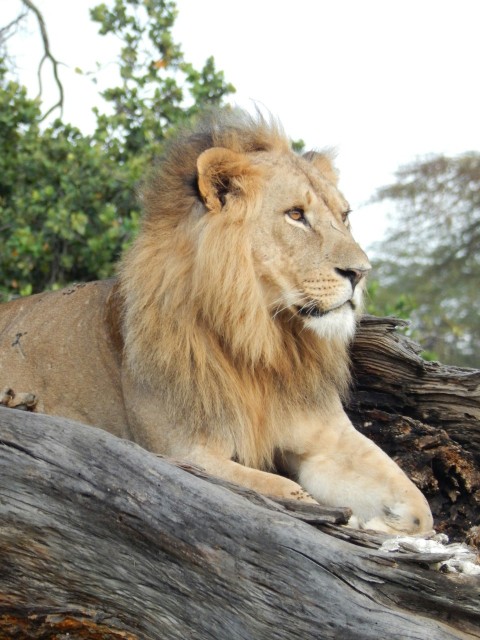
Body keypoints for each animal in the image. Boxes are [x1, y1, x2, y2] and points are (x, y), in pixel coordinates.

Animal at [0, 109, 432, 534]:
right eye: (296, 215)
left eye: (344, 217)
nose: (361, 273)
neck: (266, 341)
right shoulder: (182, 451)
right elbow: (291, 492)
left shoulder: (326, 439)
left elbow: (419, 507)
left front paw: (383, 525)